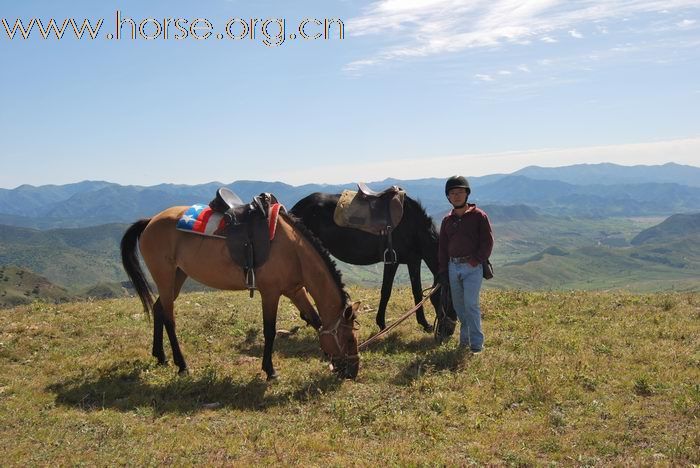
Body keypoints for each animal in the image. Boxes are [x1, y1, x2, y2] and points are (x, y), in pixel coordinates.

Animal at [120, 208, 358, 380]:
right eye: (348, 338)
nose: (353, 371)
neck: (293, 250)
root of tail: (150, 220)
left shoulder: (295, 291)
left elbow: (316, 320)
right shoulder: (270, 293)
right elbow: (269, 331)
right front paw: (270, 371)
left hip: (177, 276)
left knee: (158, 309)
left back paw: (160, 356)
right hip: (165, 276)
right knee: (169, 319)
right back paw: (182, 365)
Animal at [290, 192, 442, 330]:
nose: (444, 330)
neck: (413, 226)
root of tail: (296, 208)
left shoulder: (414, 260)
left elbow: (417, 291)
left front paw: (424, 323)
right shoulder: (392, 261)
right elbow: (386, 291)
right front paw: (382, 324)